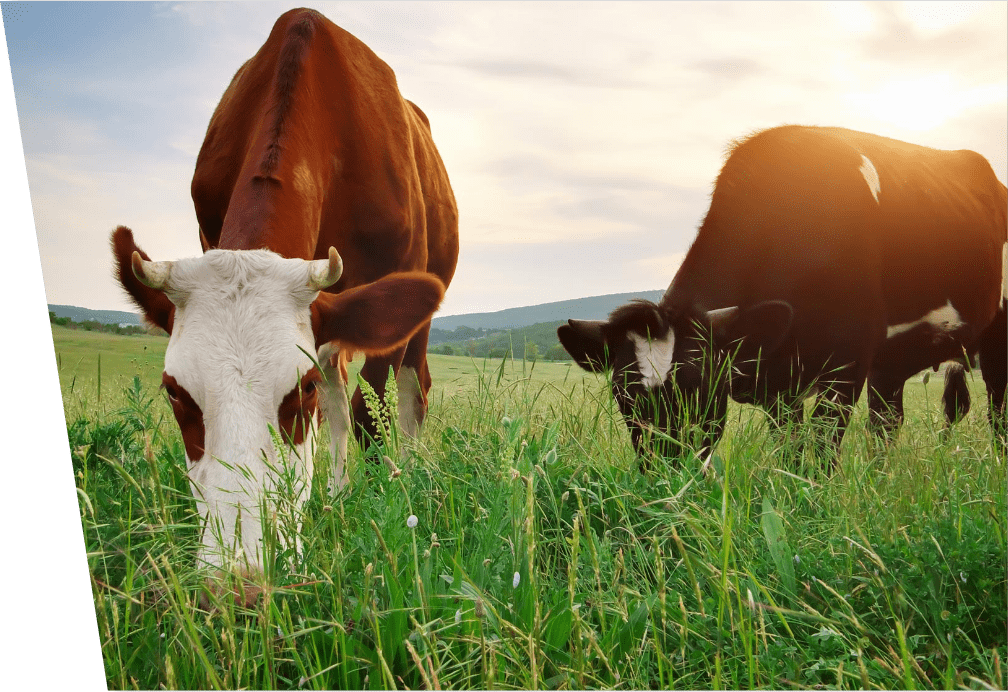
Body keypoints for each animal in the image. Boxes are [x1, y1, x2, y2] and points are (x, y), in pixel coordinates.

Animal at [111, 8, 458, 603]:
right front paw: (332, 500)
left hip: (418, 317)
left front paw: (371, 505)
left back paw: (404, 472)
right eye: (175, 393)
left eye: (301, 390)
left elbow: (368, 415)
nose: (240, 587)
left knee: (410, 389)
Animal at [559, 125, 1007, 471]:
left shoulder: (847, 361)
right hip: (891, 361)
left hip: (995, 336)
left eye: (700, 386)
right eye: (623, 396)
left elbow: (823, 450)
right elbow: (790, 450)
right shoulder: (781, 383)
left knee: (997, 413)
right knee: (886, 424)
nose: (664, 476)